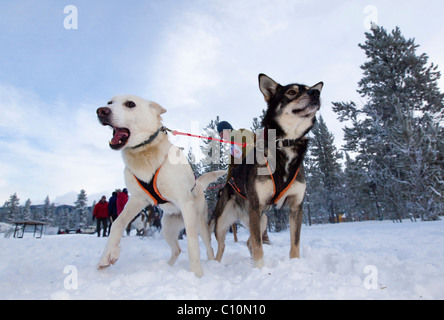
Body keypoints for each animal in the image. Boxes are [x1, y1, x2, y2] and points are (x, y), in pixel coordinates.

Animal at [96, 95, 224, 278]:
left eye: (130, 104)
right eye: (109, 103)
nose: (101, 111)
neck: (145, 152)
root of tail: (198, 184)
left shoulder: (185, 203)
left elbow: (192, 242)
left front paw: (197, 273)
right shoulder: (137, 199)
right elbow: (117, 224)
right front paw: (107, 256)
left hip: (199, 222)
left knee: (208, 247)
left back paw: (212, 264)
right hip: (167, 228)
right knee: (177, 250)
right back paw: (168, 267)